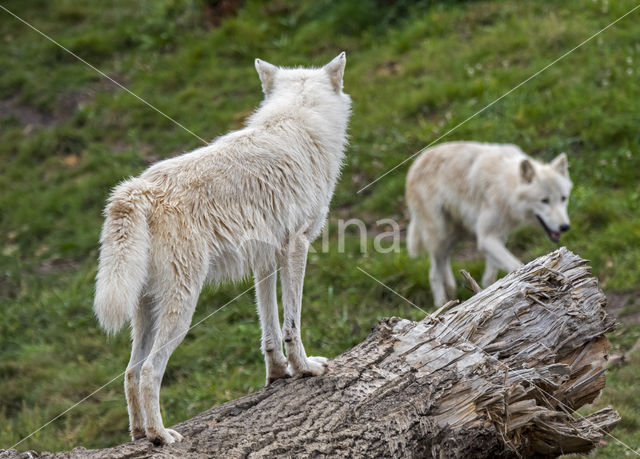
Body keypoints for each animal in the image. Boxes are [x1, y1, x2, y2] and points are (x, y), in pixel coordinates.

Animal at [93, 54, 352, 446]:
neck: (298, 119)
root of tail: (138, 188)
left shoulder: (264, 260)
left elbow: (269, 327)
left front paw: (278, 374)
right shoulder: (297, 247)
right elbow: (292, 324)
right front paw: (305, 369)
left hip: (146, 308)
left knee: (130, 372)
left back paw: (139, 434)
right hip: (183, 308)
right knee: (150, 371)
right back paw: (161, 436)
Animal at [404, 142, 568, 308]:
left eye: (563, 198)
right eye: (544, 200)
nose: (565, 227)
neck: (505, 185)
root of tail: (417, 161)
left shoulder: (498, 237)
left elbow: (490, 276)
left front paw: (488, 294)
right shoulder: (486, 238)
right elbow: (515, 265)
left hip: (455, 235)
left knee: (444, 260)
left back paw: (451, 291)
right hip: (440, 234)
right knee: (433, 272)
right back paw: (441, 304)